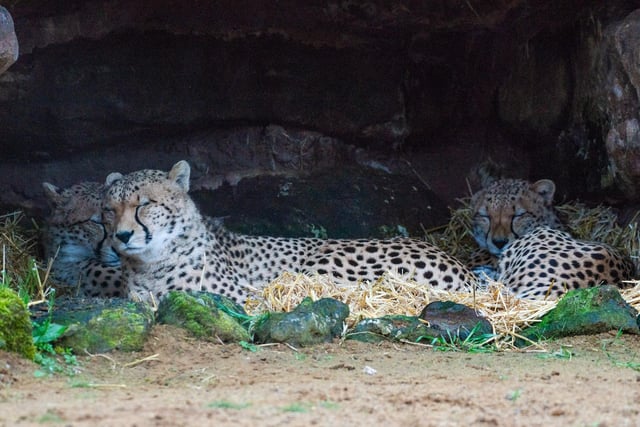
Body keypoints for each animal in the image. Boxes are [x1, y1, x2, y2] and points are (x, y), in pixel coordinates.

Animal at [101, 160, 480, 304]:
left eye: (143, 204)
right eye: (109, 210)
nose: (122, 236)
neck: (150, 263)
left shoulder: (243, 298)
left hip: (324, 260)